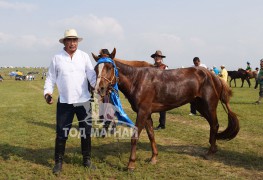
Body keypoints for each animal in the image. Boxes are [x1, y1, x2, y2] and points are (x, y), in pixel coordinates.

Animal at [92, 48, 240, 171]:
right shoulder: (147, 113)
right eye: (96, 68)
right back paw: (213, 148)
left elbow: (135, 137)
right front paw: (154, 157)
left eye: (109, 67)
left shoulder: (142, 112)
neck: (137, 80)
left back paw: (210, 153)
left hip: (209, 105)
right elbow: (151, 135)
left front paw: (131, 164)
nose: (100, 89)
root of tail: (214, 77)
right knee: (212, 125)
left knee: (214, 125)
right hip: (200, 106)